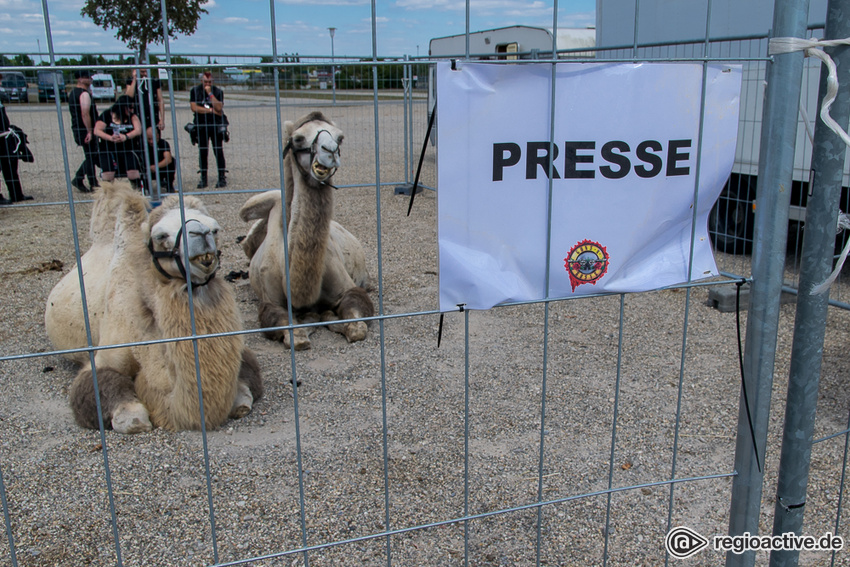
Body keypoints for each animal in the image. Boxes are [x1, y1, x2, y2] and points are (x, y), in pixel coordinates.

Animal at [43, 182, 260, 434]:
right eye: (160, 235)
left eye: (215, 229)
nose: (201, 234)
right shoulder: (107, 352)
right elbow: (97, 386)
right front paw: (132, 417)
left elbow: (247, 375)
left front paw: (240, 400)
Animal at [238, 111, 372, 350]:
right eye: (298, 138)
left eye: (340, 138)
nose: (329, 152)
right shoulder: (269, 302)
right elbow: (295, 335)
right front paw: (313, 319)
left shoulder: (349, 288)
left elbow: (357, 327)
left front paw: (329, 317)